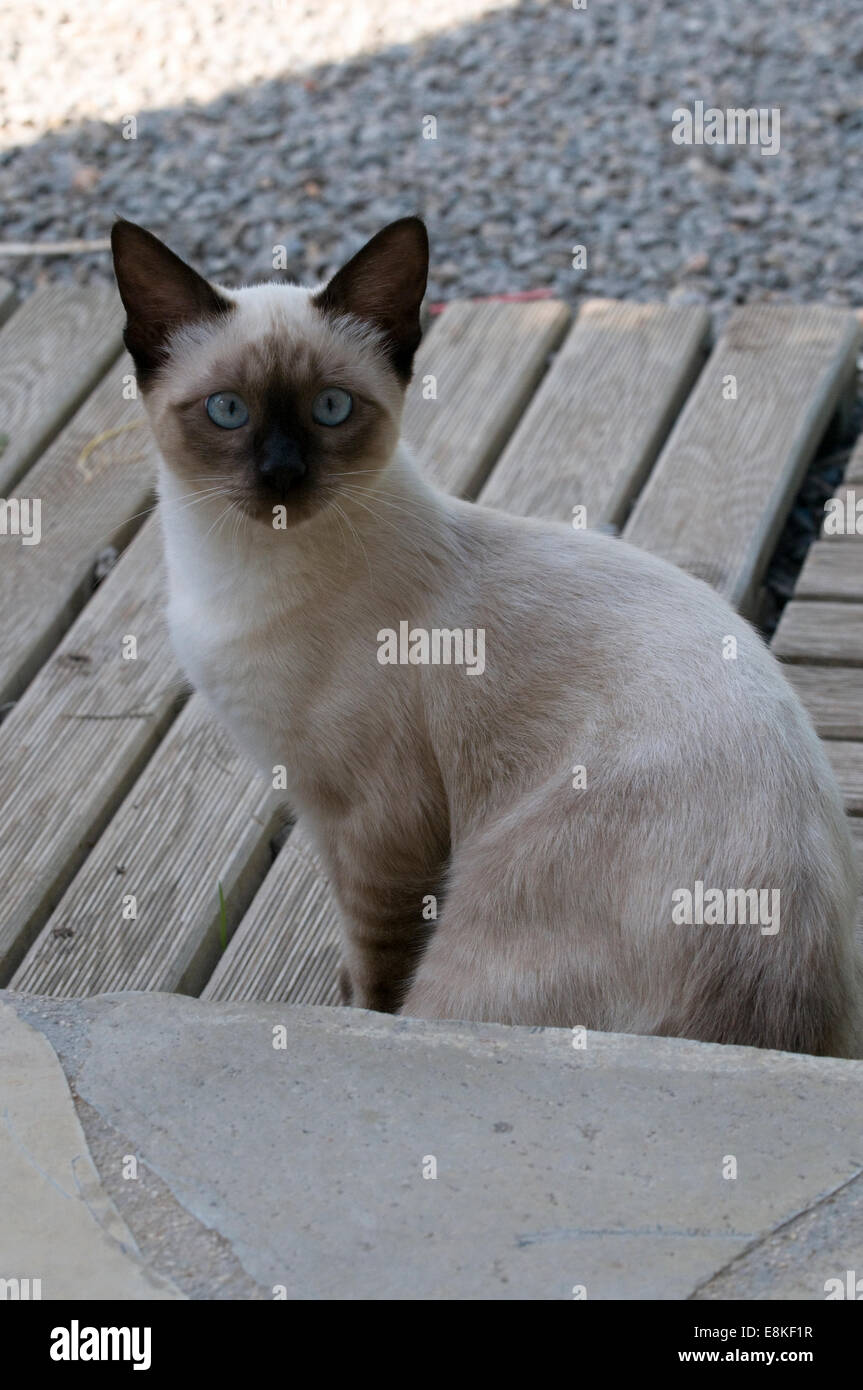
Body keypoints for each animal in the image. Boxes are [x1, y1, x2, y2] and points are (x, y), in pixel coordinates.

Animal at [112, 216, 861, 1050]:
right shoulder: (313, 801)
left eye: (331, 409)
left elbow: (375, 957)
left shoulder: (375, 821)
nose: (281, 477)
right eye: (228, 412)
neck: (234, 578)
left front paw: (358, 1013)